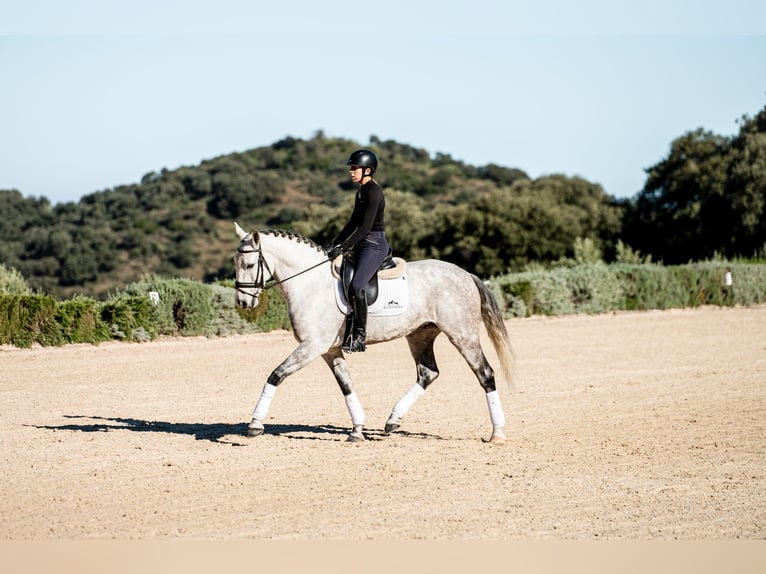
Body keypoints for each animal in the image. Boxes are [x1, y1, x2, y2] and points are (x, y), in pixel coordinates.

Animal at [231, 224, 512, 446]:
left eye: (250, 264)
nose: (243, 303)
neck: (310, 284)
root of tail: (465, 275)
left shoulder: (312, 346)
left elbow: (276, 375)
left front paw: (254, 424)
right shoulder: (330, 349)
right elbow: (346, 385)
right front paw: (357, 430)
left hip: (462, 334)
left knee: (485, 373)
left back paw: (497, 433)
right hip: (420, 334)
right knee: (428, 373)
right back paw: (393, 420)